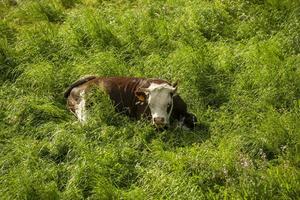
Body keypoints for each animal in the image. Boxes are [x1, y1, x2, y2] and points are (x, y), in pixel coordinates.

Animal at [63, 76, 197, 129]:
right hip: (85, 108)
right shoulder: (144, 120)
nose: (158, 120)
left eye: (168, 104)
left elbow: (194, 119)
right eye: (149, 104)